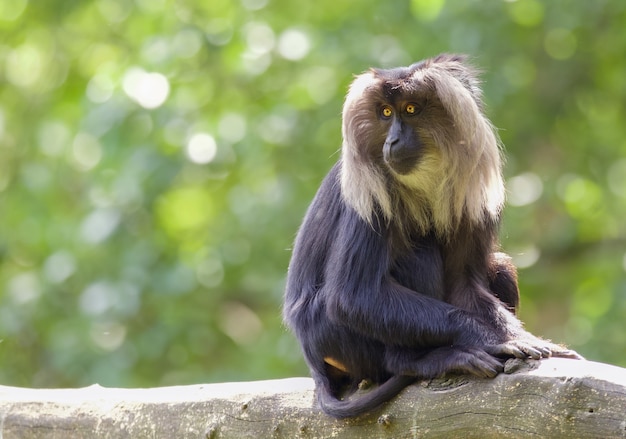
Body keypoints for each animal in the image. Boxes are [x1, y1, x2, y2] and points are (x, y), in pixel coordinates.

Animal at [280, 54, 576, 420]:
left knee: (501, 266)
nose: (391, 141)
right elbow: (353, 296)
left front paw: (515, 334)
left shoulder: (472, 190)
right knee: (415, 256)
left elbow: (465, 284)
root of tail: (313, 359)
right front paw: (492, 339)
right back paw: (424, 360)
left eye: (410, 109)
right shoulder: (369, 190)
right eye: (386, 113)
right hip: (330, 336)